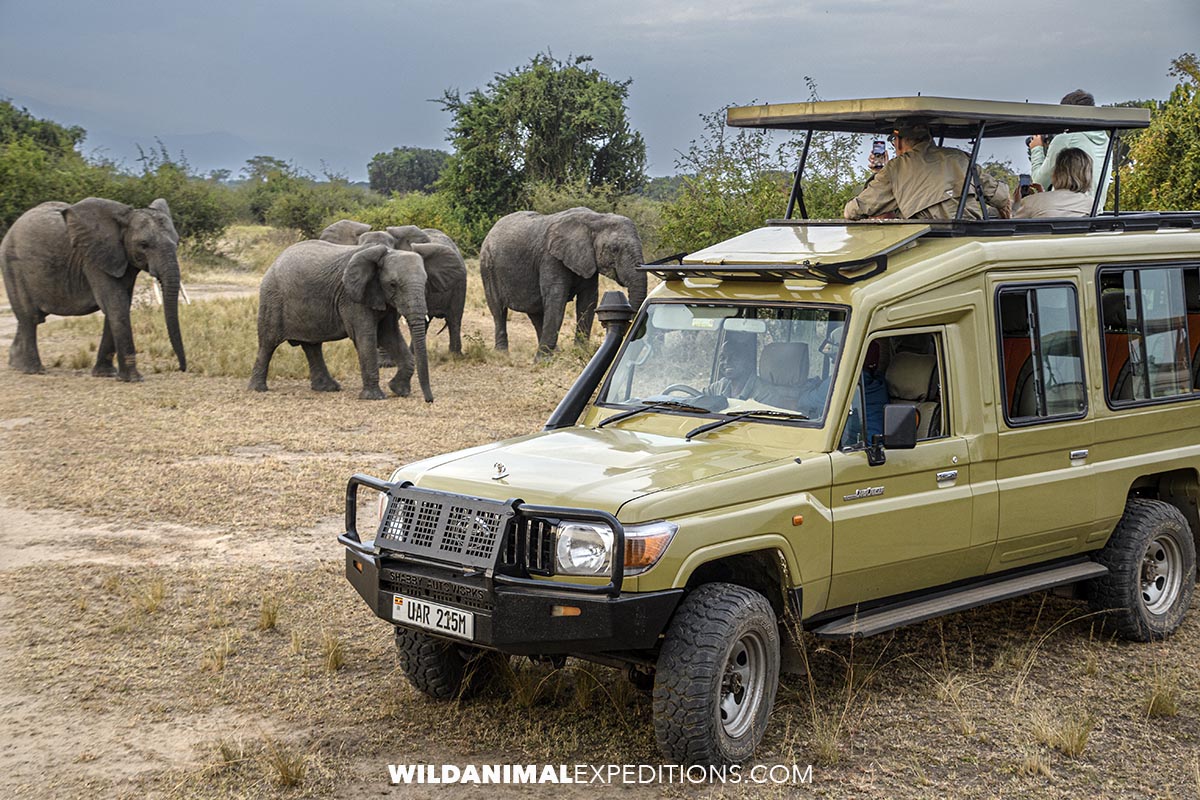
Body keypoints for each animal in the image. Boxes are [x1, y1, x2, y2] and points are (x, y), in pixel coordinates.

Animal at [0, 197, 186, 381]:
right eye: (143, 244)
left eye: (177, 243)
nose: (181, 368)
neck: (123, 220)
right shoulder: (92, 260)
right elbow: (116, 306)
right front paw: (133, 379)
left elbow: (120, 305)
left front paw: (106, 374)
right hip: (13, 265)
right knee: (29, 317)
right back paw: (33, 370)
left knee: (29, 318)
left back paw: (16, 364)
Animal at [248, 240, 457, 401]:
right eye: (393, 285)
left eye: (425, 282)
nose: (429, 400)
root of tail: (275, 261)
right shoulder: (352, 297)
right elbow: (366, 336)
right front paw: (375, 397)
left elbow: (389, 335)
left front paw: (399, 390)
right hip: (272, 299)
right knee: (268, 343)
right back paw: (257, 389)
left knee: (312, 345)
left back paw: (328, 388)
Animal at [479, 207, 646, 358]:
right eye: (615, 249)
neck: (596, 219)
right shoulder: (550, 258)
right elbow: (556, 300)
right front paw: (542, 361)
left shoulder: (586, 260)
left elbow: (588, 301)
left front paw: (580, 353)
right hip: (488, 267)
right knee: (498, 310)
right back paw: (503, 354)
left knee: (535, 312)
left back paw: (555, 352)